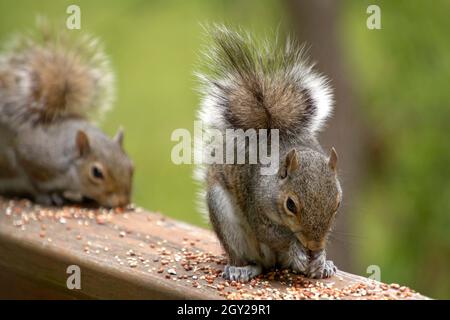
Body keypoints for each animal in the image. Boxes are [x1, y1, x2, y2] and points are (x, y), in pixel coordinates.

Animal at [0, 23, 134, 206]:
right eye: (96, 173)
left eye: (131, 166)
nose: (122, 202)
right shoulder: (31, 158)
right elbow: (33, 183)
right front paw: (48, 196)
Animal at [195, 25, 342, 280]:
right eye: (290, 205)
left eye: (337, 204)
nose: (314, 246)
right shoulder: (256, 203)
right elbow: (272, 233)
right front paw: (296, 248)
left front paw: (321, 259)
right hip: (226, 219)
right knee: (256, 260)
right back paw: (243, 268)